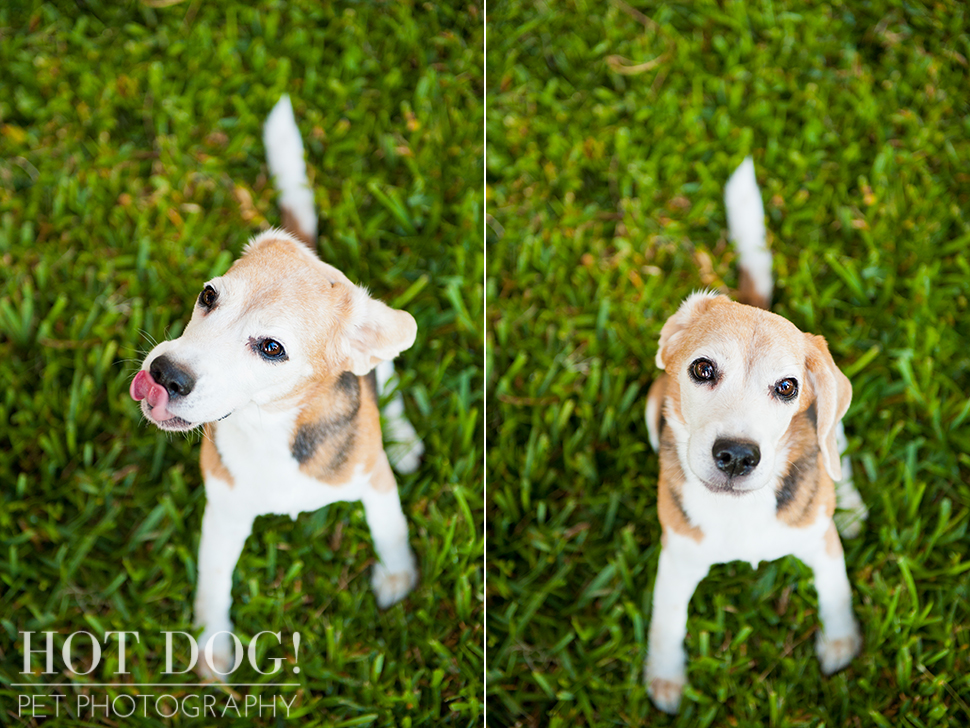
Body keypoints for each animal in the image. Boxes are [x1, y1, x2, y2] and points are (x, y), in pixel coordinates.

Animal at [129, 95, 420, 676]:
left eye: (271, 348)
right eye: (208, 295)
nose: (165, 374)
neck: (268, 428)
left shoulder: (373, 481)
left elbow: (390, 529)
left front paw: (399, 578)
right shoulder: (224, 514)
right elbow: (212, 585)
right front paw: (211, 649)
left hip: (378, 368)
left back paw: (403, 439)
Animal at [644, 158, 864, 712]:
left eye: (786, 387)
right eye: (702, 369)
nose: (738, 456)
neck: (738, 509)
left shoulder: (819, 542)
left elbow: (835, 592)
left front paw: (841, 643)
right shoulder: (677, 559)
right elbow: (666, 621)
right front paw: (665, 678)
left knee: (837, 451)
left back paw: (851, 505)